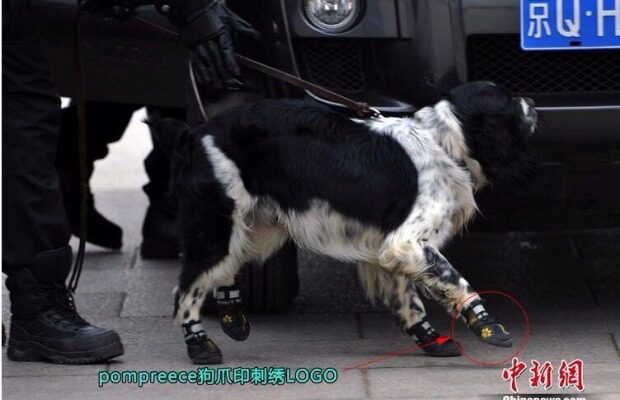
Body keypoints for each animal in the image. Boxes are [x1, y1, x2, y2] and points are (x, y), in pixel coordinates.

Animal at [151, 81, 537, 364]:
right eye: (508, 100)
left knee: (225, 268)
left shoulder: (392, 248)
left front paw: (431, 340)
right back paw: (199, 345)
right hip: (216, 226)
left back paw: (232, 316)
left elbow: (409, 300)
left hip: (257, 227)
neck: (440, 140)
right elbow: (455, 279)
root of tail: (194, 134)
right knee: (186, 288)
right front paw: (486, 324)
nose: (532, 101)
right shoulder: (407, 241)